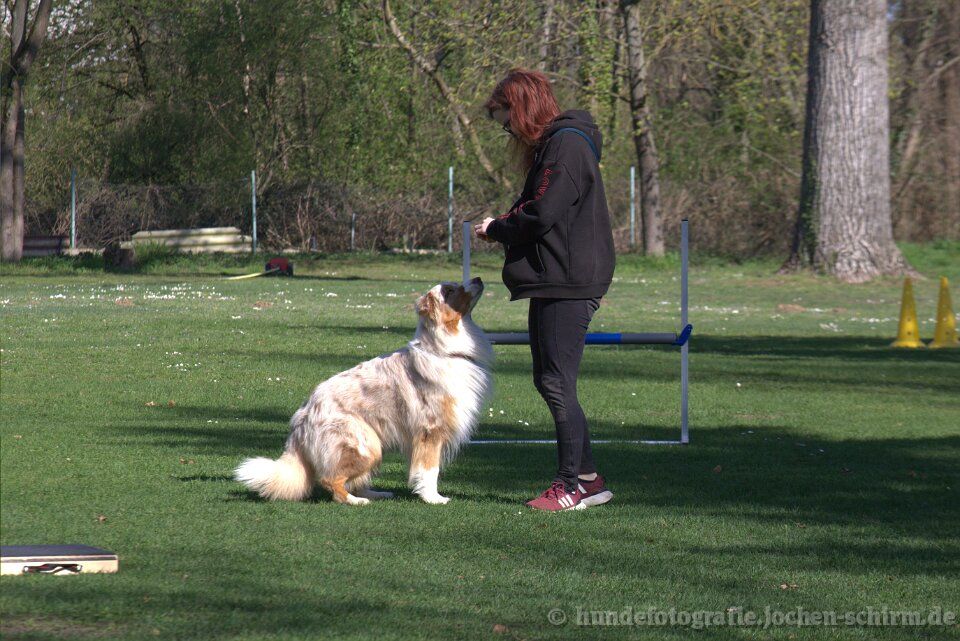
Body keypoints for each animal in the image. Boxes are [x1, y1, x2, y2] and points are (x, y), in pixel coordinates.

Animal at [235, 278, 493, 505]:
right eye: (449, 292)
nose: (478, 279)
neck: (443, 349)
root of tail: (302, 415)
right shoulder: (430, 431)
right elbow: (430, 470)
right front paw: (433, 498)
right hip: (365, 445)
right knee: (331, 481)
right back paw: (356, 501)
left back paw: (377, 494)